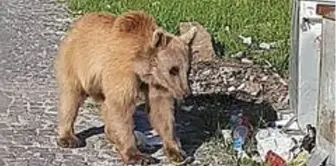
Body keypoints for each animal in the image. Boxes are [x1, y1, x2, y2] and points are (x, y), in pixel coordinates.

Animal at [54, 11, 197, 165]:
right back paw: (68, 137)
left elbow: (161, 109)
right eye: (173, 70)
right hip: (76, 63)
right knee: (71, 97)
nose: (186, 93)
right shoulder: (122, 72)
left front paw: (177, 151)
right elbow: (121, 106)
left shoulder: (157, 83)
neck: (142, 68)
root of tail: (77, 25)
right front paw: (137, 156)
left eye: (188, 70)